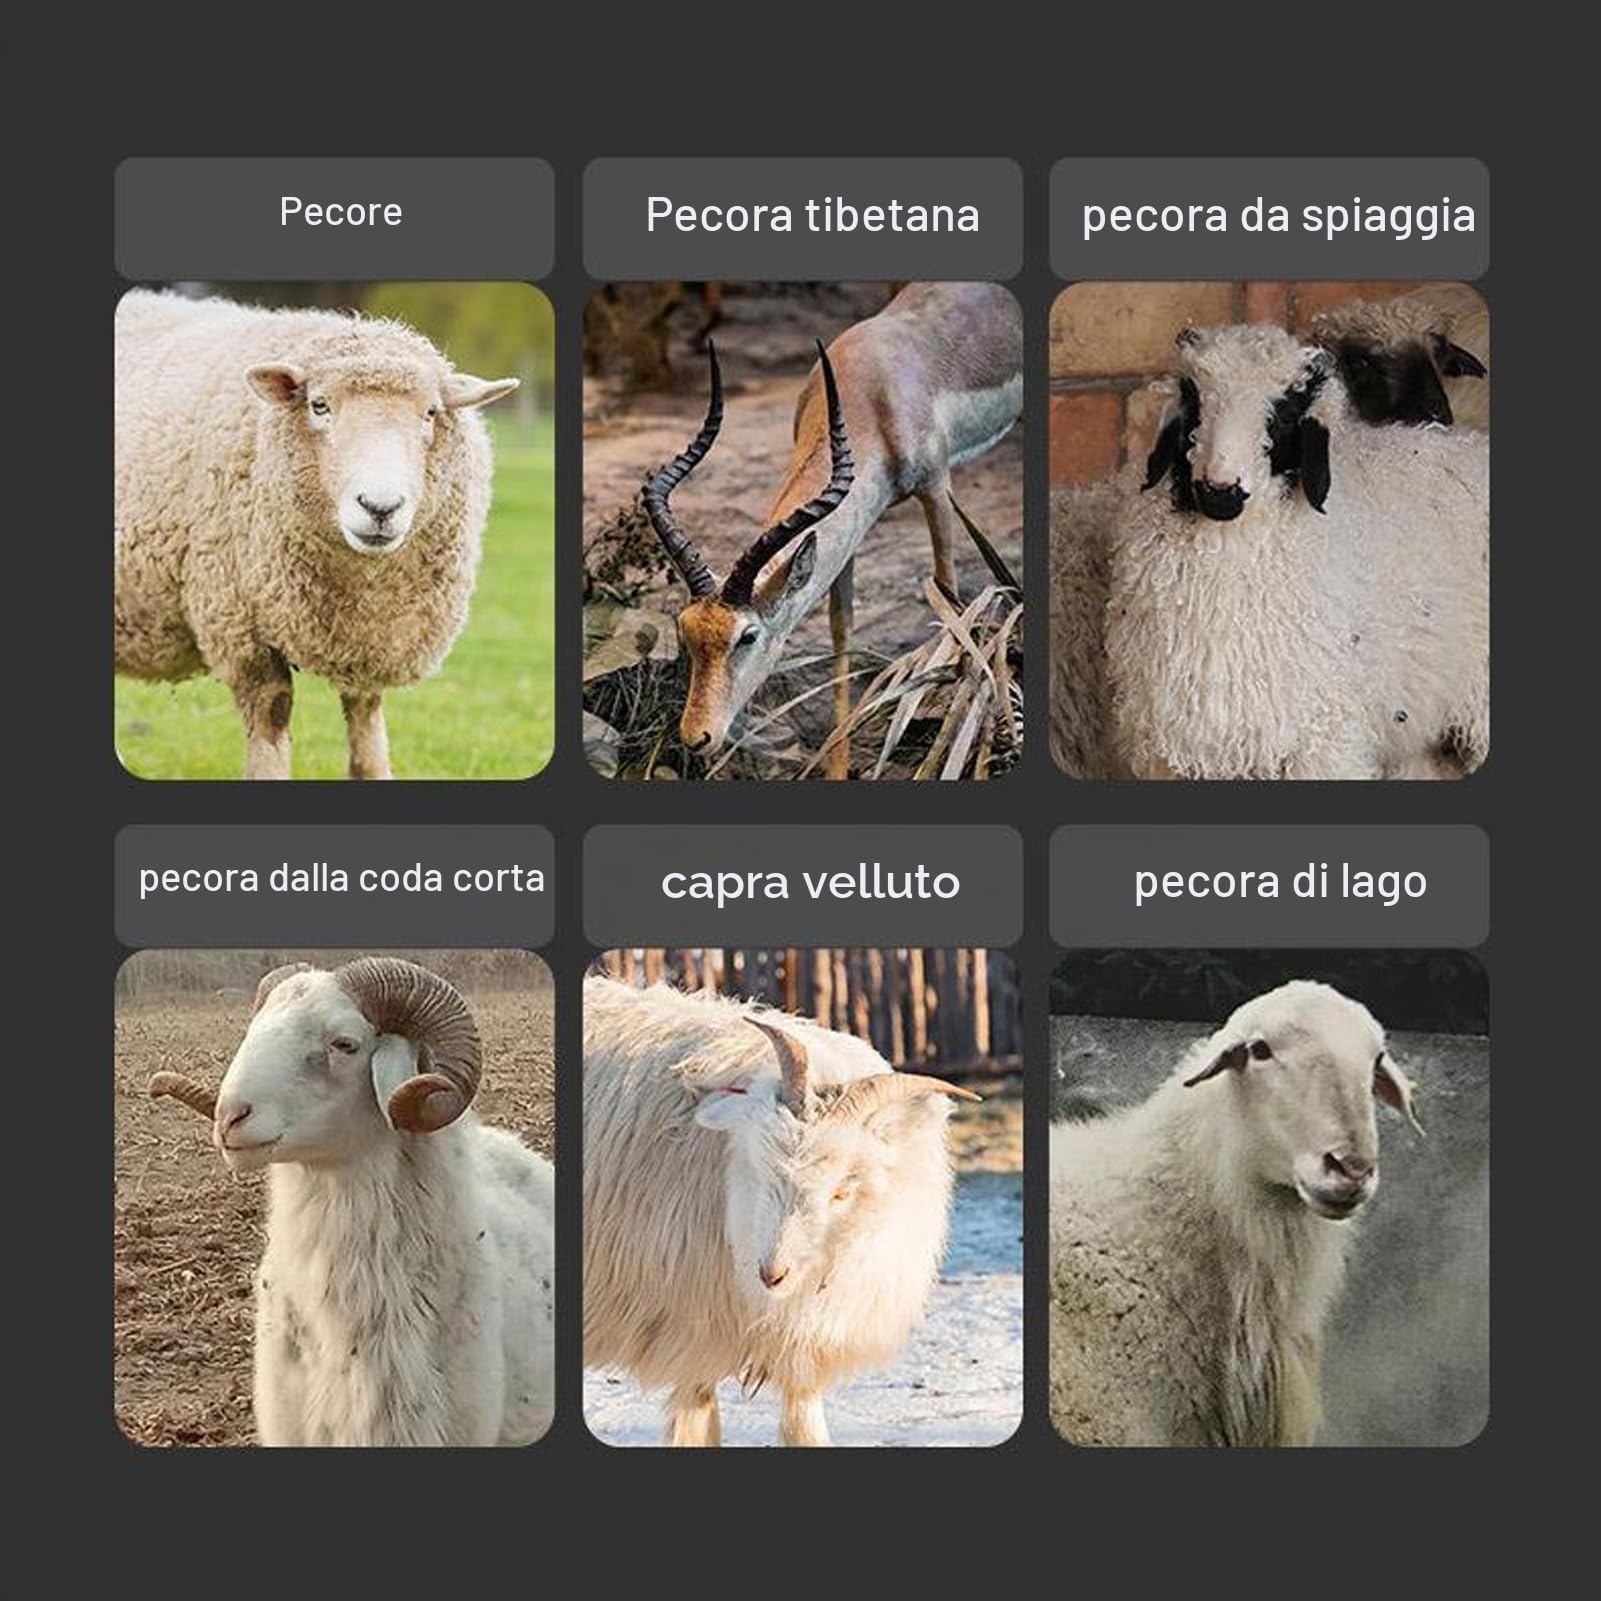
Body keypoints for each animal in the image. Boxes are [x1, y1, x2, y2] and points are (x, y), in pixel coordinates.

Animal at [115, 290, 518, 778]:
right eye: (319, 405)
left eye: (430, 413)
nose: (380, 507)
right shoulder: (238, 622)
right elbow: (271, 716)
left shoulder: (371, 638)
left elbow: (366, 724)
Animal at [582, 975, 977, 1446]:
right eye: (761, 1167)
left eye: (842, 1191)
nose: (772, 1273)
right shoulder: (691, 1332)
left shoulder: (797, 1349)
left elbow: (802, 1429)